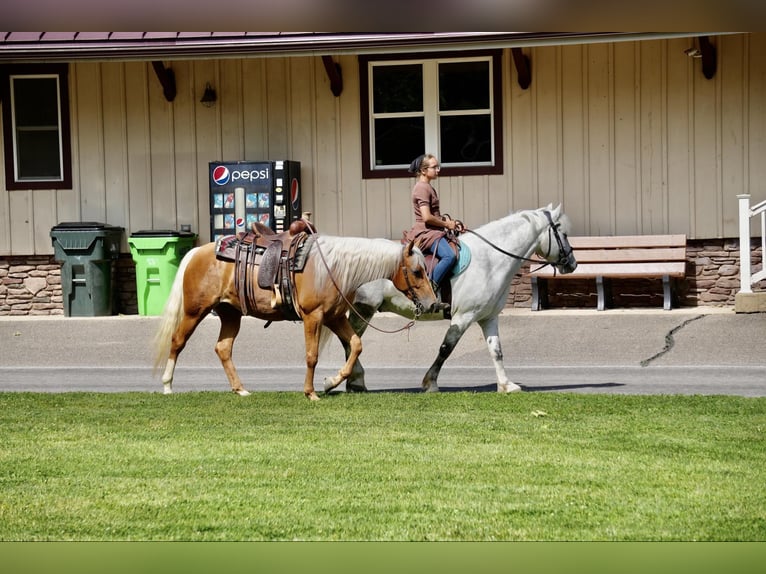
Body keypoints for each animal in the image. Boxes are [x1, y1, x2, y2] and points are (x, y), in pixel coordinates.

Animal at [153, 228, 438, 400]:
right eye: (416, 271)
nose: (433, 303)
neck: (333, 268)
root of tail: (197, 251)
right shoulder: (313, 317)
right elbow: (312, 356)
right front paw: (311, 392)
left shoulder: (334, 317)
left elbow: (356, 345)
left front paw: (331, 382)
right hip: (195, 311)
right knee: (177, 341)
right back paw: (167, 385)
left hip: (230, 314)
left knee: (223, 348)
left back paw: (240, 389)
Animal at [340, 204, 580, 396]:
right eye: (564, 233)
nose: (572, 263)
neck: (489, 260)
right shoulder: (463, 316)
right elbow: (446, 348)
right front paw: (430, 383)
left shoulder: (488, 317)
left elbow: (497, 350)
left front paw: (506, 385)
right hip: (365, 308)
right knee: (350, 340)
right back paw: (355, 381)